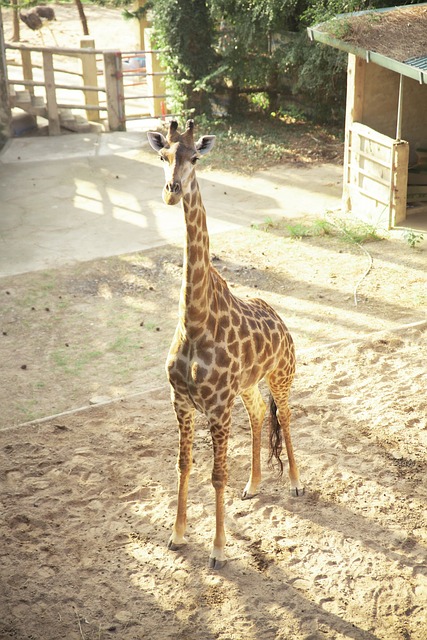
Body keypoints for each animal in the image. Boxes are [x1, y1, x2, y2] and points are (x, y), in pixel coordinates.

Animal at [147, 117, 304, 568]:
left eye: (195, 158)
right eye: (162, 155)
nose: (171, 191)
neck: (195, 320)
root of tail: (281, 322)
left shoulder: (217, 407)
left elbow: (217, 475)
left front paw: (217, 550)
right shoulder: (181, 401)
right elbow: (183, 465)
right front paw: (177, 535)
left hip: (282, 376)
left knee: (286, 417)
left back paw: (295, 483)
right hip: (248, 387)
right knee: (260, 416)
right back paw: (253, 486)